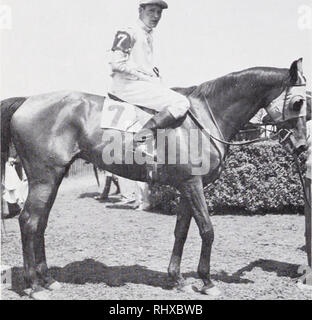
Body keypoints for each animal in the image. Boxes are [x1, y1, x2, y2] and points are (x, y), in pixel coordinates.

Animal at [0, 58, 308, 300]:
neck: (204, 117)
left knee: (40, 223)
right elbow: (207, 230)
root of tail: (27, 101)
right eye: (298, 102)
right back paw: (33, 286)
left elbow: (181, 231)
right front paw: (207, 282)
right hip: (44, 179)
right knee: (28, 221)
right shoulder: (194, 185)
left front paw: (178, 279)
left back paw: (47, 280)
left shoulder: (185, 187)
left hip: (53, 178)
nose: (303, 147)